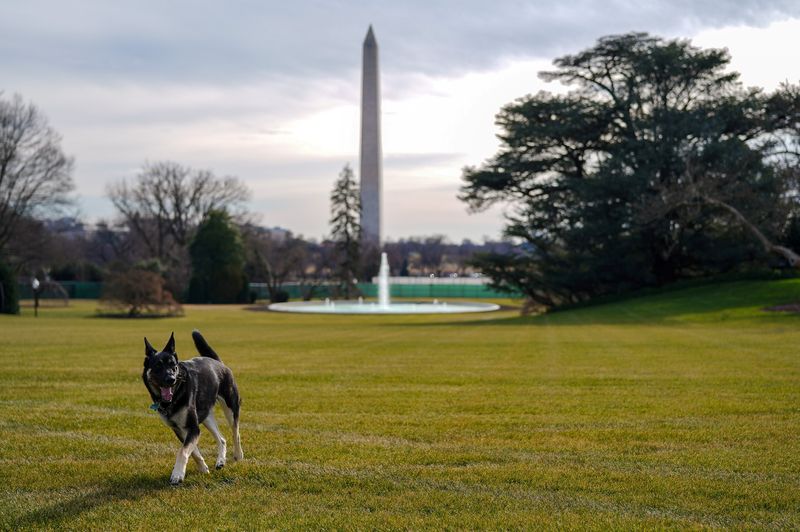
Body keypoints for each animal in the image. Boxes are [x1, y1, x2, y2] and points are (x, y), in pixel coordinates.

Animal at [143, 330, 244, 484]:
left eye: (173, 365)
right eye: (158, 366)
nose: (171, 379)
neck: (175, 395)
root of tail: (218, 362)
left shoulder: (193, 427)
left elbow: (182, 451)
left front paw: (177, 474)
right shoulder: (180, 429)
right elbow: (193, 451)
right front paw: (203, 468)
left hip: (230, 408)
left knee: (235, 433)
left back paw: (238, 455)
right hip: (206, 416)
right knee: (222, 439)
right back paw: (220, 461)